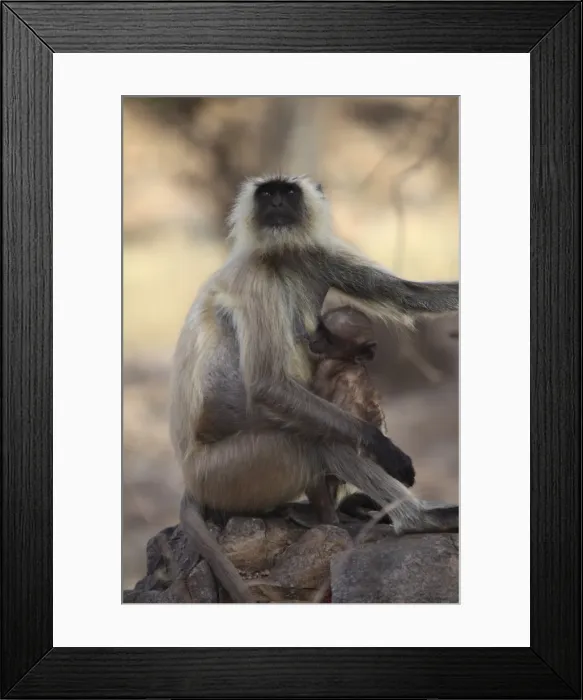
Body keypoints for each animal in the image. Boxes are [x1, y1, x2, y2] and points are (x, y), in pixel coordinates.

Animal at [170, 174, 459, 601]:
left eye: (287, 192)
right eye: (267, 194)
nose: (275, 203)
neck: (281, 257)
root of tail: (190, 479)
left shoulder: (318, 255)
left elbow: (410, 295)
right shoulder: (256, 278)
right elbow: (267, 384)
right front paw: (382, 446)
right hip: (232, 470)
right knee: (316, 442)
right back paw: (413, 519)